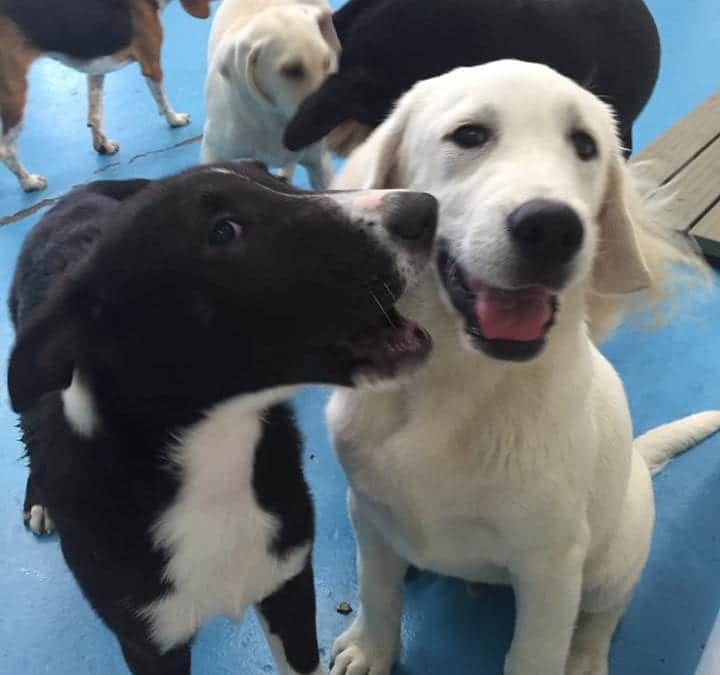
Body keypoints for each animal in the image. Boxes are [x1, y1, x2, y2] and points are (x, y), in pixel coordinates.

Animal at [0, 0, 212, 193]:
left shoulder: (96, 70)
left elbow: (95, 114)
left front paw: (103, 145)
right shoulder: (151, 64)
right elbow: (163, 101)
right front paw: (175, 120)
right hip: (15, 93)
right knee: (6, 150)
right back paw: (29, 182)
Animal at [8, 164, 436, 675]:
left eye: (276, 178)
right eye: (222, 231)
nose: (425, 210)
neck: (211, 462)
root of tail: (78, 195)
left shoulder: (289, 585)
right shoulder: (148, 642)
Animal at [328, 59, 720, 675]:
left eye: (585, 145)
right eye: (469, 135)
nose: (553, 228)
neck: (454, 384)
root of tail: (638, 462)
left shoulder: (551, 567)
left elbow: (534, 652)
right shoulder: (366, 510)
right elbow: (377, 588)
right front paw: (371, 648)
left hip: (613, 560)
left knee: (605, 612)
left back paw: (587, 657)